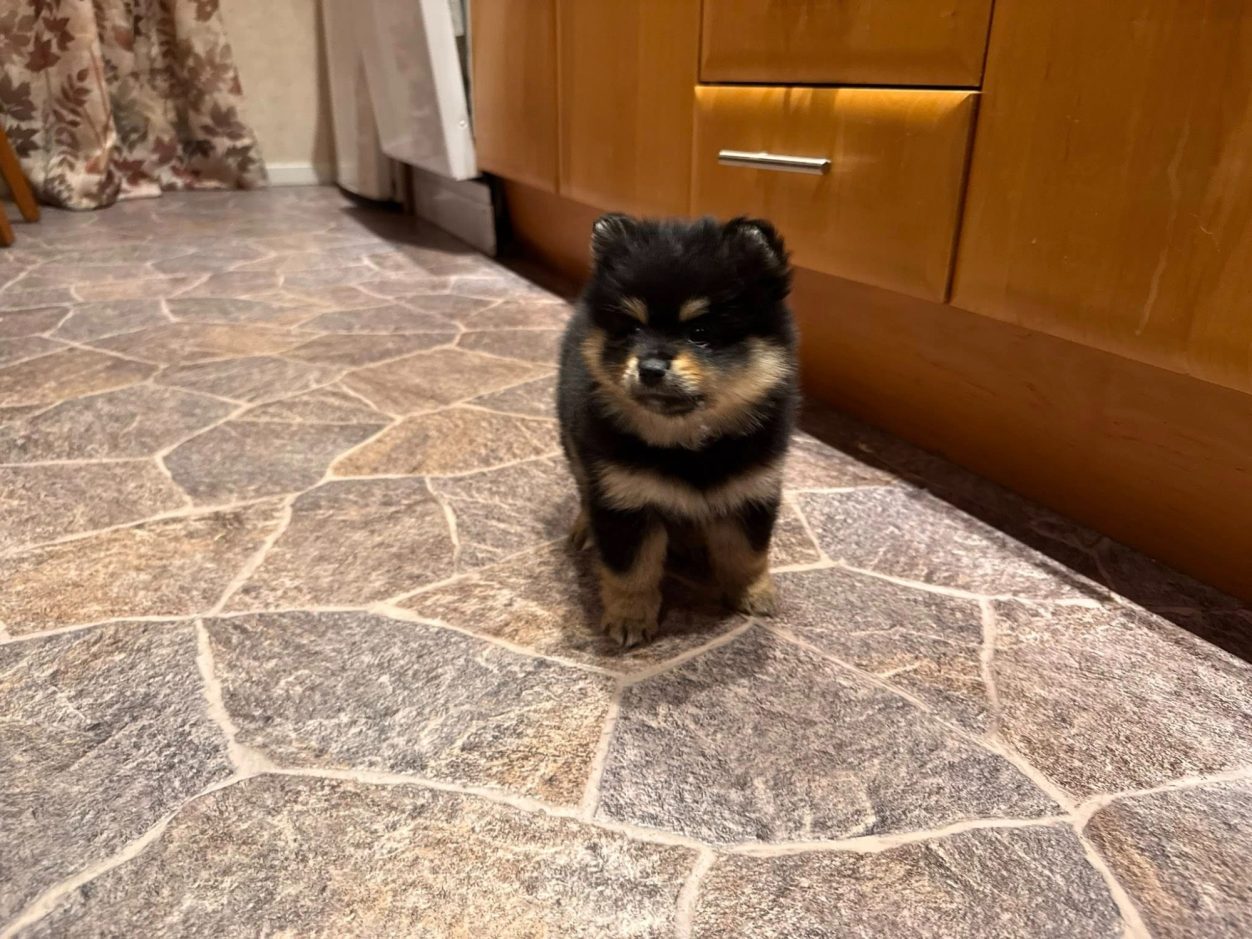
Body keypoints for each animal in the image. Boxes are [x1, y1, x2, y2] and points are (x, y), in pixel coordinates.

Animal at [557, 213, 799, 646]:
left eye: (700, 332)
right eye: (632, 329)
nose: (650, 368)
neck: (688, 443)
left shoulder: (751, 490)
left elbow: (747, 555)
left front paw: (752, 593)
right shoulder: (624, 498)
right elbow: (631, 571)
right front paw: (629, 618)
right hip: (575, 446)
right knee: (585, 488)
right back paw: (585, 528)